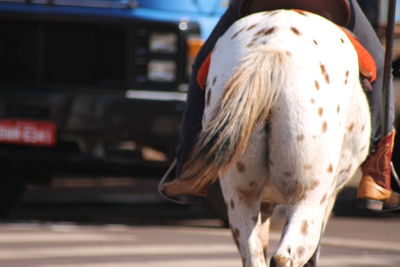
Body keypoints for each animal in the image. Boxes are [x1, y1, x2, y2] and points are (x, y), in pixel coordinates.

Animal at [179, 9, 372, 266]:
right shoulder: (328, 196)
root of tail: (272, 52)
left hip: (239, 191)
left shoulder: (264, 201)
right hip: (308, 195)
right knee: (286, 255)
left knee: (253, 255)